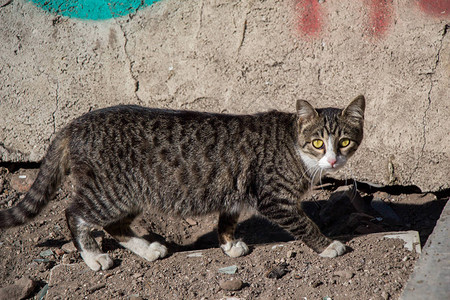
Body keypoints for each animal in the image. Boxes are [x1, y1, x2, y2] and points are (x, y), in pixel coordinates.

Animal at [0, 96, 366, 272]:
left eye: (345, 142)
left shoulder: (236, 190)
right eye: (317, 143)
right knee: (74, 213)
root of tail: (74, 124)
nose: (333, 160)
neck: (293, 146)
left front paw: (228, 244)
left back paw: (147, 249)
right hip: (109, 192)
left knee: (115, 225)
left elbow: (227, 218)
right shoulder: (274, 197)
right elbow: (304, 223)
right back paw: (93, 257)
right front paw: (327, 245)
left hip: (129, 194)